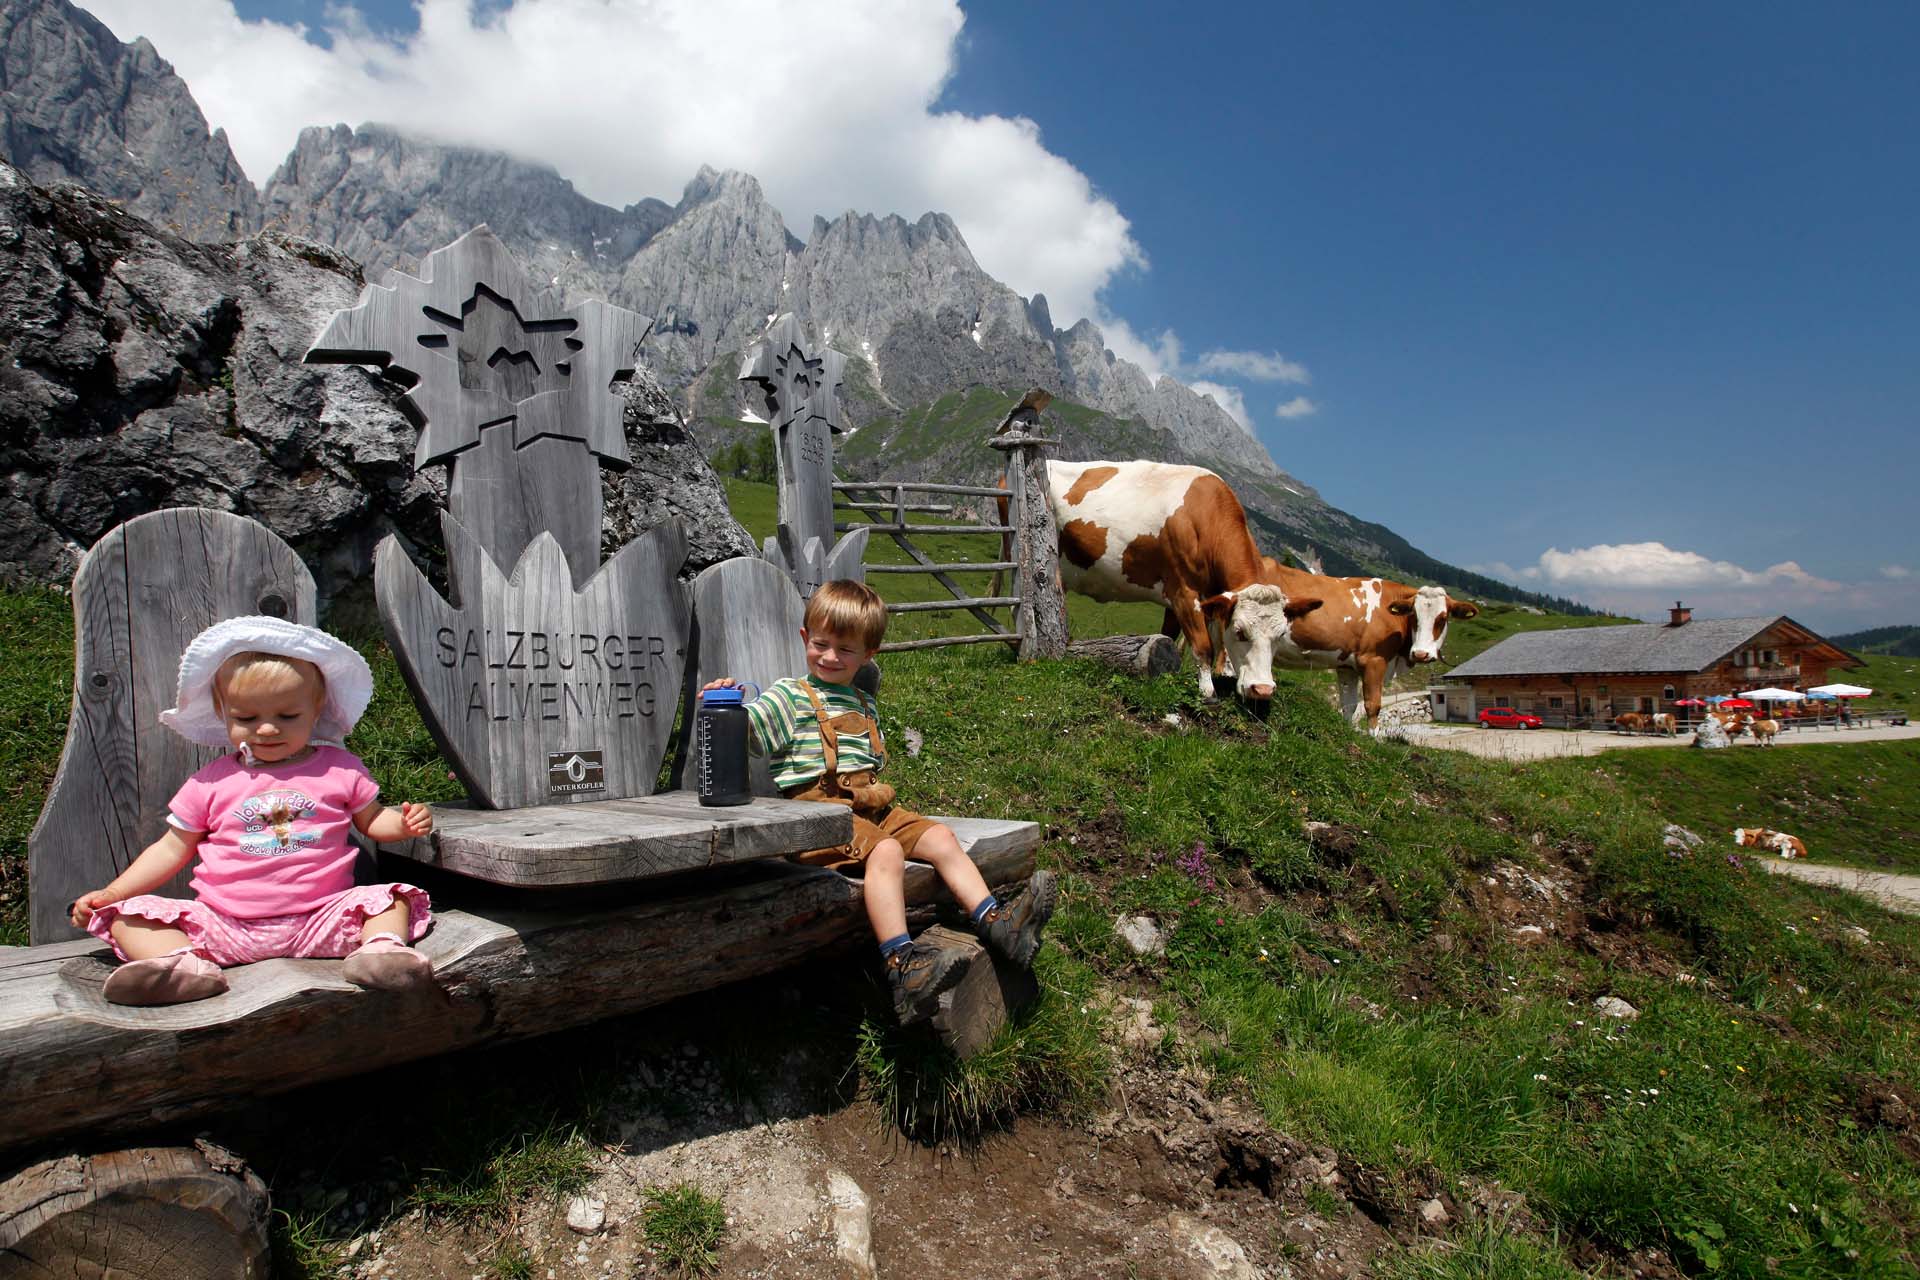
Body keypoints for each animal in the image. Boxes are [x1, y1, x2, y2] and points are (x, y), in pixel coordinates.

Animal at [1044, 462, 1328, 702]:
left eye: (1280, 635)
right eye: (1240, 632)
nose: (1263, 690)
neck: (1205, 515)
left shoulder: (1186, 599)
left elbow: (1169, 636)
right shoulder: (1185, 592)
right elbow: (1203, 645)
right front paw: (1207, 691)